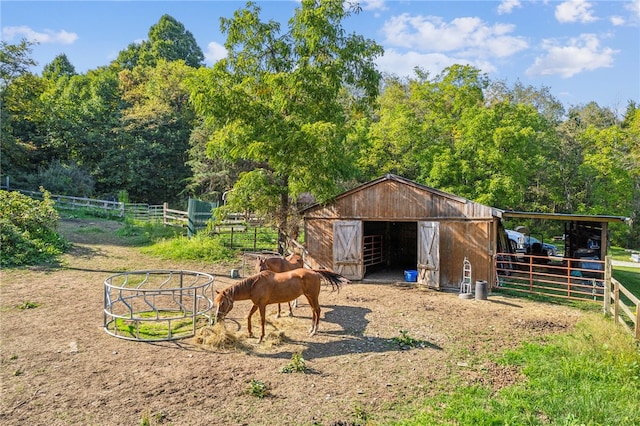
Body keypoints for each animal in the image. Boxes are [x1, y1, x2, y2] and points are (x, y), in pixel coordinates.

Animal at [214, 270, 350, 342]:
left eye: (222, 303)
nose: (217, 318)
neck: (254, 285)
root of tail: (315, 272)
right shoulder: (256, 304)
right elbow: (248, 316)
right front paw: (250, 333)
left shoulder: (262, 305)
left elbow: (262, 320)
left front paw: (260, 338)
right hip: (309, 296)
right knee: (314, 311)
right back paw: (311, 329)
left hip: (312, 296)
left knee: (317, 310)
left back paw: (314, 332)